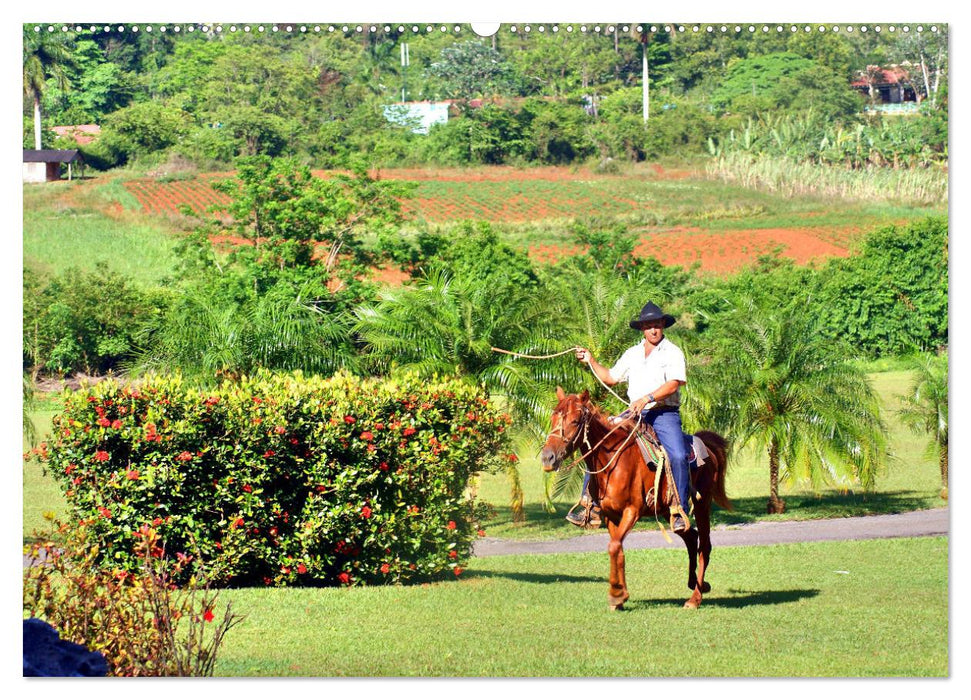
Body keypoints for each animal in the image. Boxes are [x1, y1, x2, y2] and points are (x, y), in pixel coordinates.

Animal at [540, 386, 728, 608]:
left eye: (575, 421)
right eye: (553, 418)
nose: (547, 458)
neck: (613, 463)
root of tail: (705, 446)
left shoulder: (632, 511)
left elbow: (614, 547)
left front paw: (616, 594)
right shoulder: (611, 515)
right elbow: (617, 548)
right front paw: (620, 596)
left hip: (702, 502)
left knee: (704, 545)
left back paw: (695, 599)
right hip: (667, 510)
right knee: (691, 537)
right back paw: (696, 584)